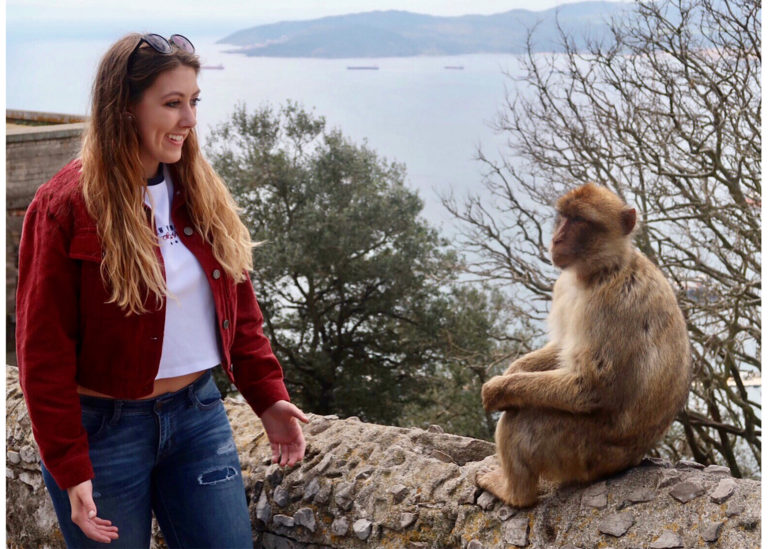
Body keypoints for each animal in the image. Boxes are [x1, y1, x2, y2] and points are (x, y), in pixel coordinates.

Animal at [476, 183, 692, 506]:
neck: (599, 270)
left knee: (521, 419)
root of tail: (628, 461)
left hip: (581, 451)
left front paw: (499, 389)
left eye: (579, 221)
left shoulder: (611, 303)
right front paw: (513, 371)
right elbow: (562, 346)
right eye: (563, 217)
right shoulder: (565, 288)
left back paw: (514, 493)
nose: (556, 238)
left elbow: (591, 386)